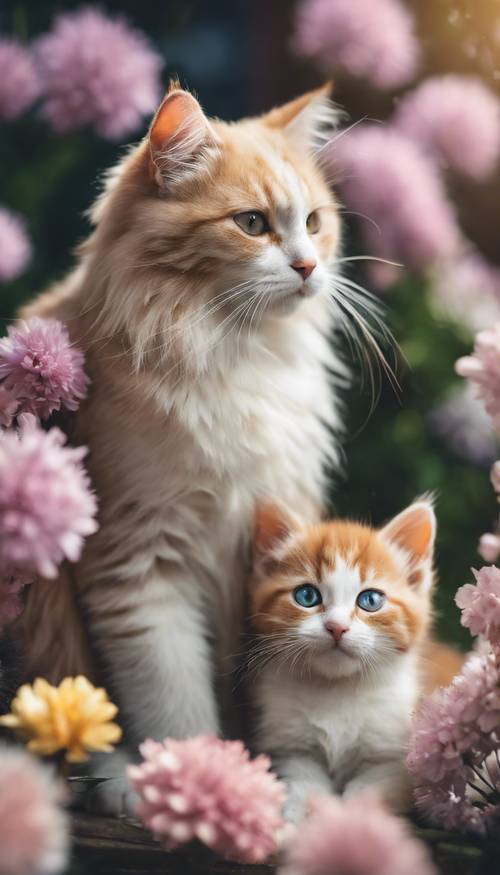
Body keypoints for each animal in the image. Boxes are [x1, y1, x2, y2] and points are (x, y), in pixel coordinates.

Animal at [18, 84, 352, 816]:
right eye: (252, 223)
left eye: (314, 222)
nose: (309, 266)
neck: (233, 355)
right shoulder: (138, 562)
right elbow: (174, 703)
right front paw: (198, 779)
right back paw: (114, 781)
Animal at [248, 500, 448, 820]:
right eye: (306, 595)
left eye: (370, 601)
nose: (336, 627)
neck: (337, 690)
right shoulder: (293, 749)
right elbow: (304, 783)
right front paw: (297, 820)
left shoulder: (397, 758)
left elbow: (369, 790)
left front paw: (351, 822)